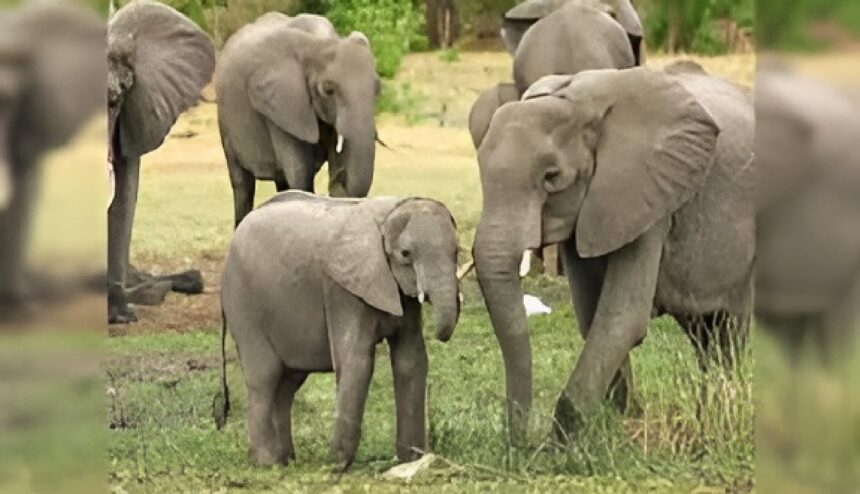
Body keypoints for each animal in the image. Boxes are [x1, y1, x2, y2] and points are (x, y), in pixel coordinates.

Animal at [214, 191, 460, 467]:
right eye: (405, 254)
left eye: (457, 251)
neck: (387, 215)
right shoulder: (343, 290)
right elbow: (357, 361)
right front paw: (336, 464)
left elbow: (411, 360)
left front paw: (411, 459)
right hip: (243, 304)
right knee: (264, 376)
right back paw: (267, 463)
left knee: (288, 384)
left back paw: (286, 459)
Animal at [216, 13, 380, 228]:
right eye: (328, 90)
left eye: (378, 89)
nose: (338, 178)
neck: (319, 44)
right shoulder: (280, 105)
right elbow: (300, 172)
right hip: (225, 122)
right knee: (242, 184)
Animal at [472, 64, 755, 443]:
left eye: (551, 177)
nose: (522, 442)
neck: (575, 102)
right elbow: (591, 314)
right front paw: (619, 420)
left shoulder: (646, 192)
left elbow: (622, 318)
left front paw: (564, 442)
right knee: (704, 335)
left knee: (730, 332)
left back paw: (721, 417)